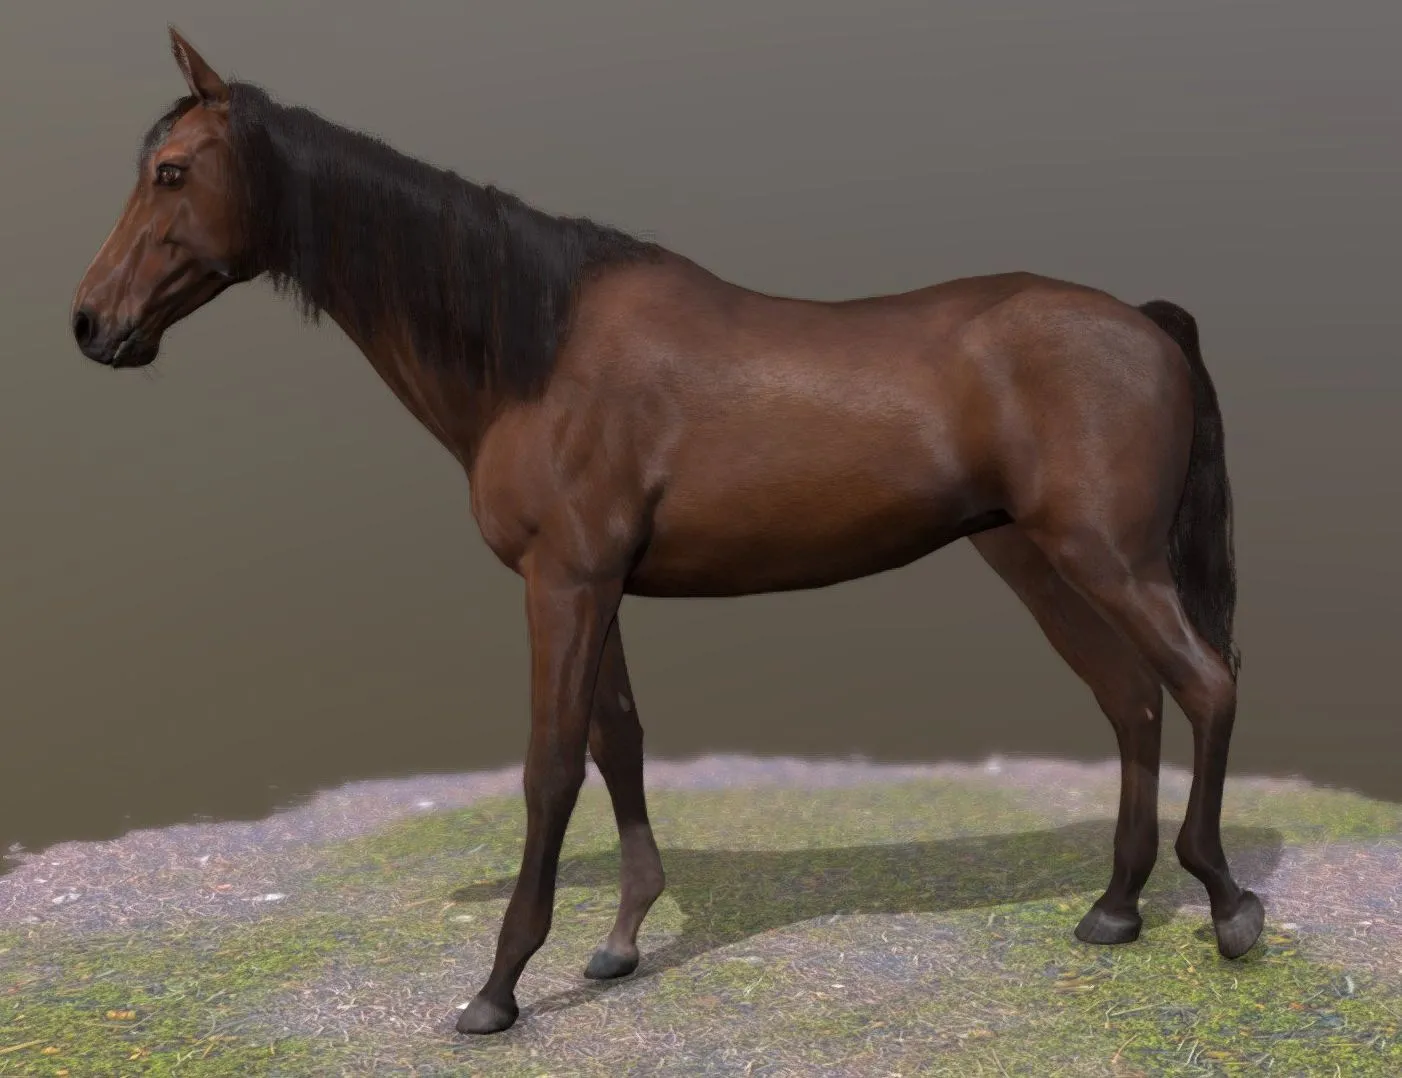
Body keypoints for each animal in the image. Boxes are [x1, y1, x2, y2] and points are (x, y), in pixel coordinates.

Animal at [71, 28, 1262, 1036]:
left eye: (170, 170)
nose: (90, 323)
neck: (534, 352)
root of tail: (1143, 321)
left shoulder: (563, 581)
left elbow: (551, 767)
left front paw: (500, 985)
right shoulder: (594, 583)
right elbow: (620, 742)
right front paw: (620, 940)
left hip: (1108, 559)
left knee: (1204, 684)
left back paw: (1227, 907)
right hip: (1036, 558)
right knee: (1132, 701)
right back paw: (1115, 908)